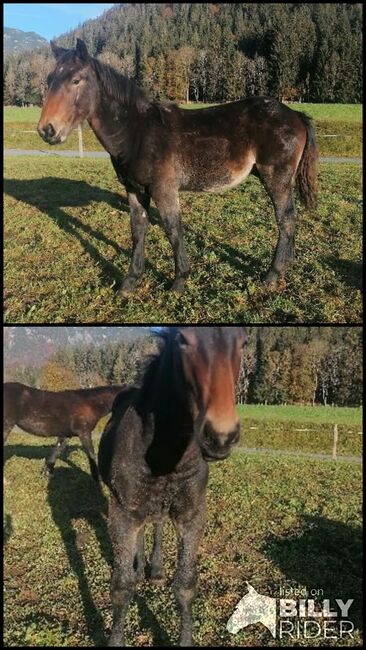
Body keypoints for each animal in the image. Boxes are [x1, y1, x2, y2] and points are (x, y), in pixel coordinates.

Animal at [38, 38, 318, 296]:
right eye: (49, 79)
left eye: (76, 80)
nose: (46, 130)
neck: (138, 131)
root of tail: (294, 114)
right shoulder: (135, 190)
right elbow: (138, 231)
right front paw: (130, 282)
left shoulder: (164, 190)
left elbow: (173, 230)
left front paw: (179, 282)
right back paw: (286, 267)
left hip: (276, 177)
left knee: (285, 219)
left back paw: (273, 274)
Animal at [98, 326, 246, 640]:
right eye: (183, 340)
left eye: (243, 342)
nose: (221, 436)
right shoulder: (121, 512)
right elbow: (121, 587)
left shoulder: (192, 514)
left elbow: (186, 586)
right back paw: (141, 567)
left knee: (155, 525)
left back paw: (154, 569)